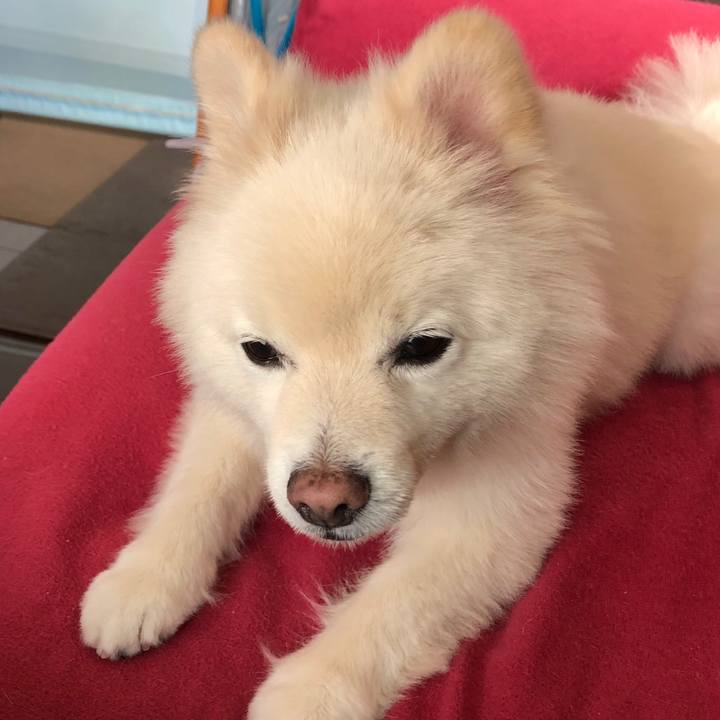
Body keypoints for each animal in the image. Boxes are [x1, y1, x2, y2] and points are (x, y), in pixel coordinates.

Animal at [80, 9, 720, 718]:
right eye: (260, 353)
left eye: (421, 348)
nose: (323, 501)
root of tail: (692, 136)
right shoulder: (236, 413)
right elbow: (196, 486)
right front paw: (144, 577)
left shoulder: (492, 508)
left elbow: (391, 611)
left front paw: (312, 690)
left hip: (689, 338)